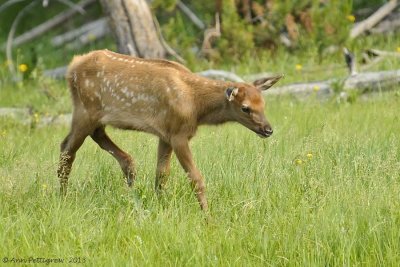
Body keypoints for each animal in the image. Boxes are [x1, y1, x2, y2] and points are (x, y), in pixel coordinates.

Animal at [58, 49, 282, 210]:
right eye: (245, 108)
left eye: (263, 104)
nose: (268, 130)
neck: (196, 106)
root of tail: (72, 66)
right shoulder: (178, 134)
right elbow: (196, 179)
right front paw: (207, 217)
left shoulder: (165, 134)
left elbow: (161, 175)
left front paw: (160, 206)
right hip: (85, 110)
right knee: (67, 149)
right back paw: (63, 197)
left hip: (95, 116)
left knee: (95, 137)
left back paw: (129, 173)